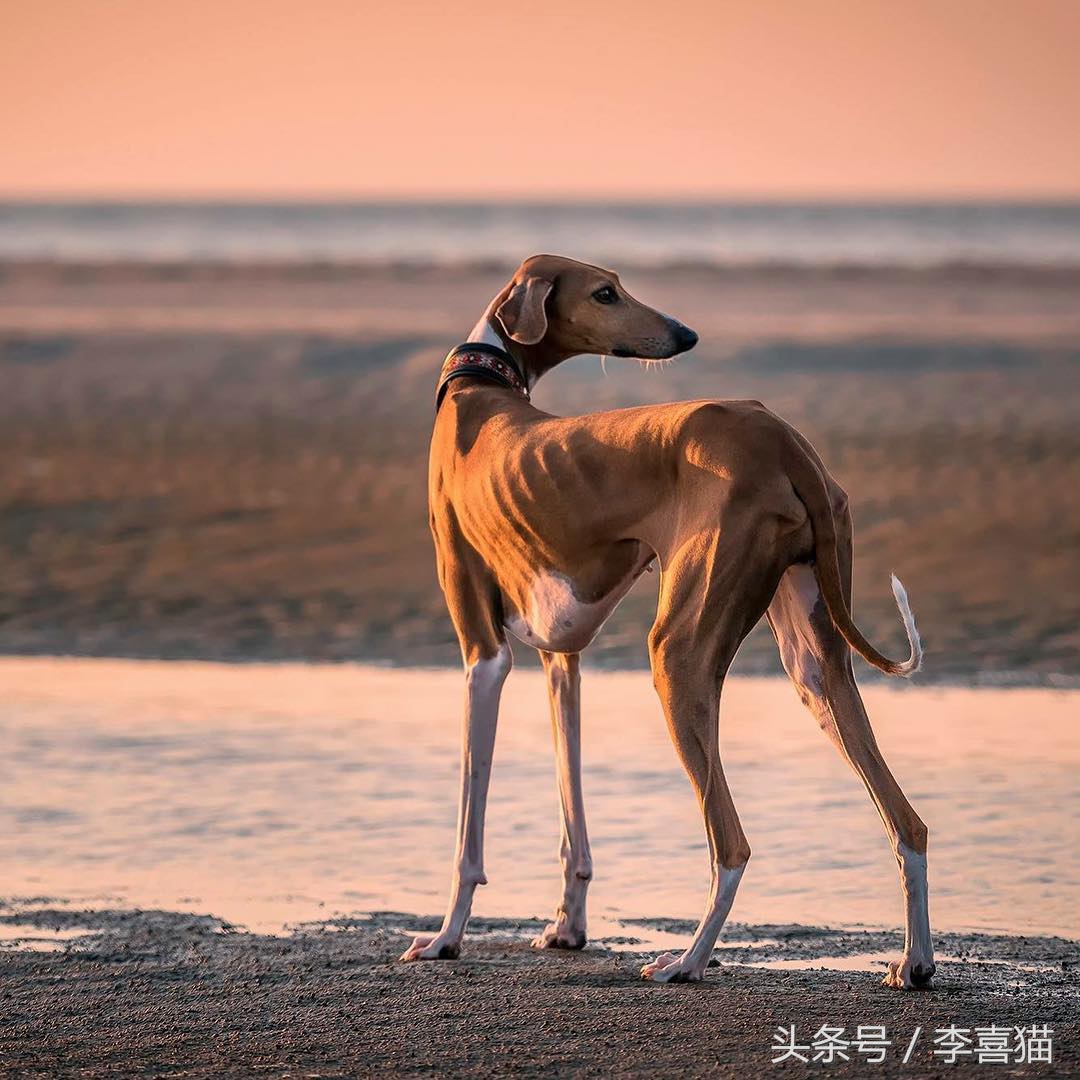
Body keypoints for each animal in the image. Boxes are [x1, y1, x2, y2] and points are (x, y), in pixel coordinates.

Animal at [401, 252, 933, 989]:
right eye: (605, 292)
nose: (686, 334)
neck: (480, 389)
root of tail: (781, 438)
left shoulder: (483, 653)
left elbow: (467, 832)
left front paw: (446, 937)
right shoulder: (560, 658)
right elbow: (572, 815)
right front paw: (567, 928)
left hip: (675, 657)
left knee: (731, 844)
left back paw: (689, 960)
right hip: (816, 664)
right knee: (908, 824)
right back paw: (915, 961)